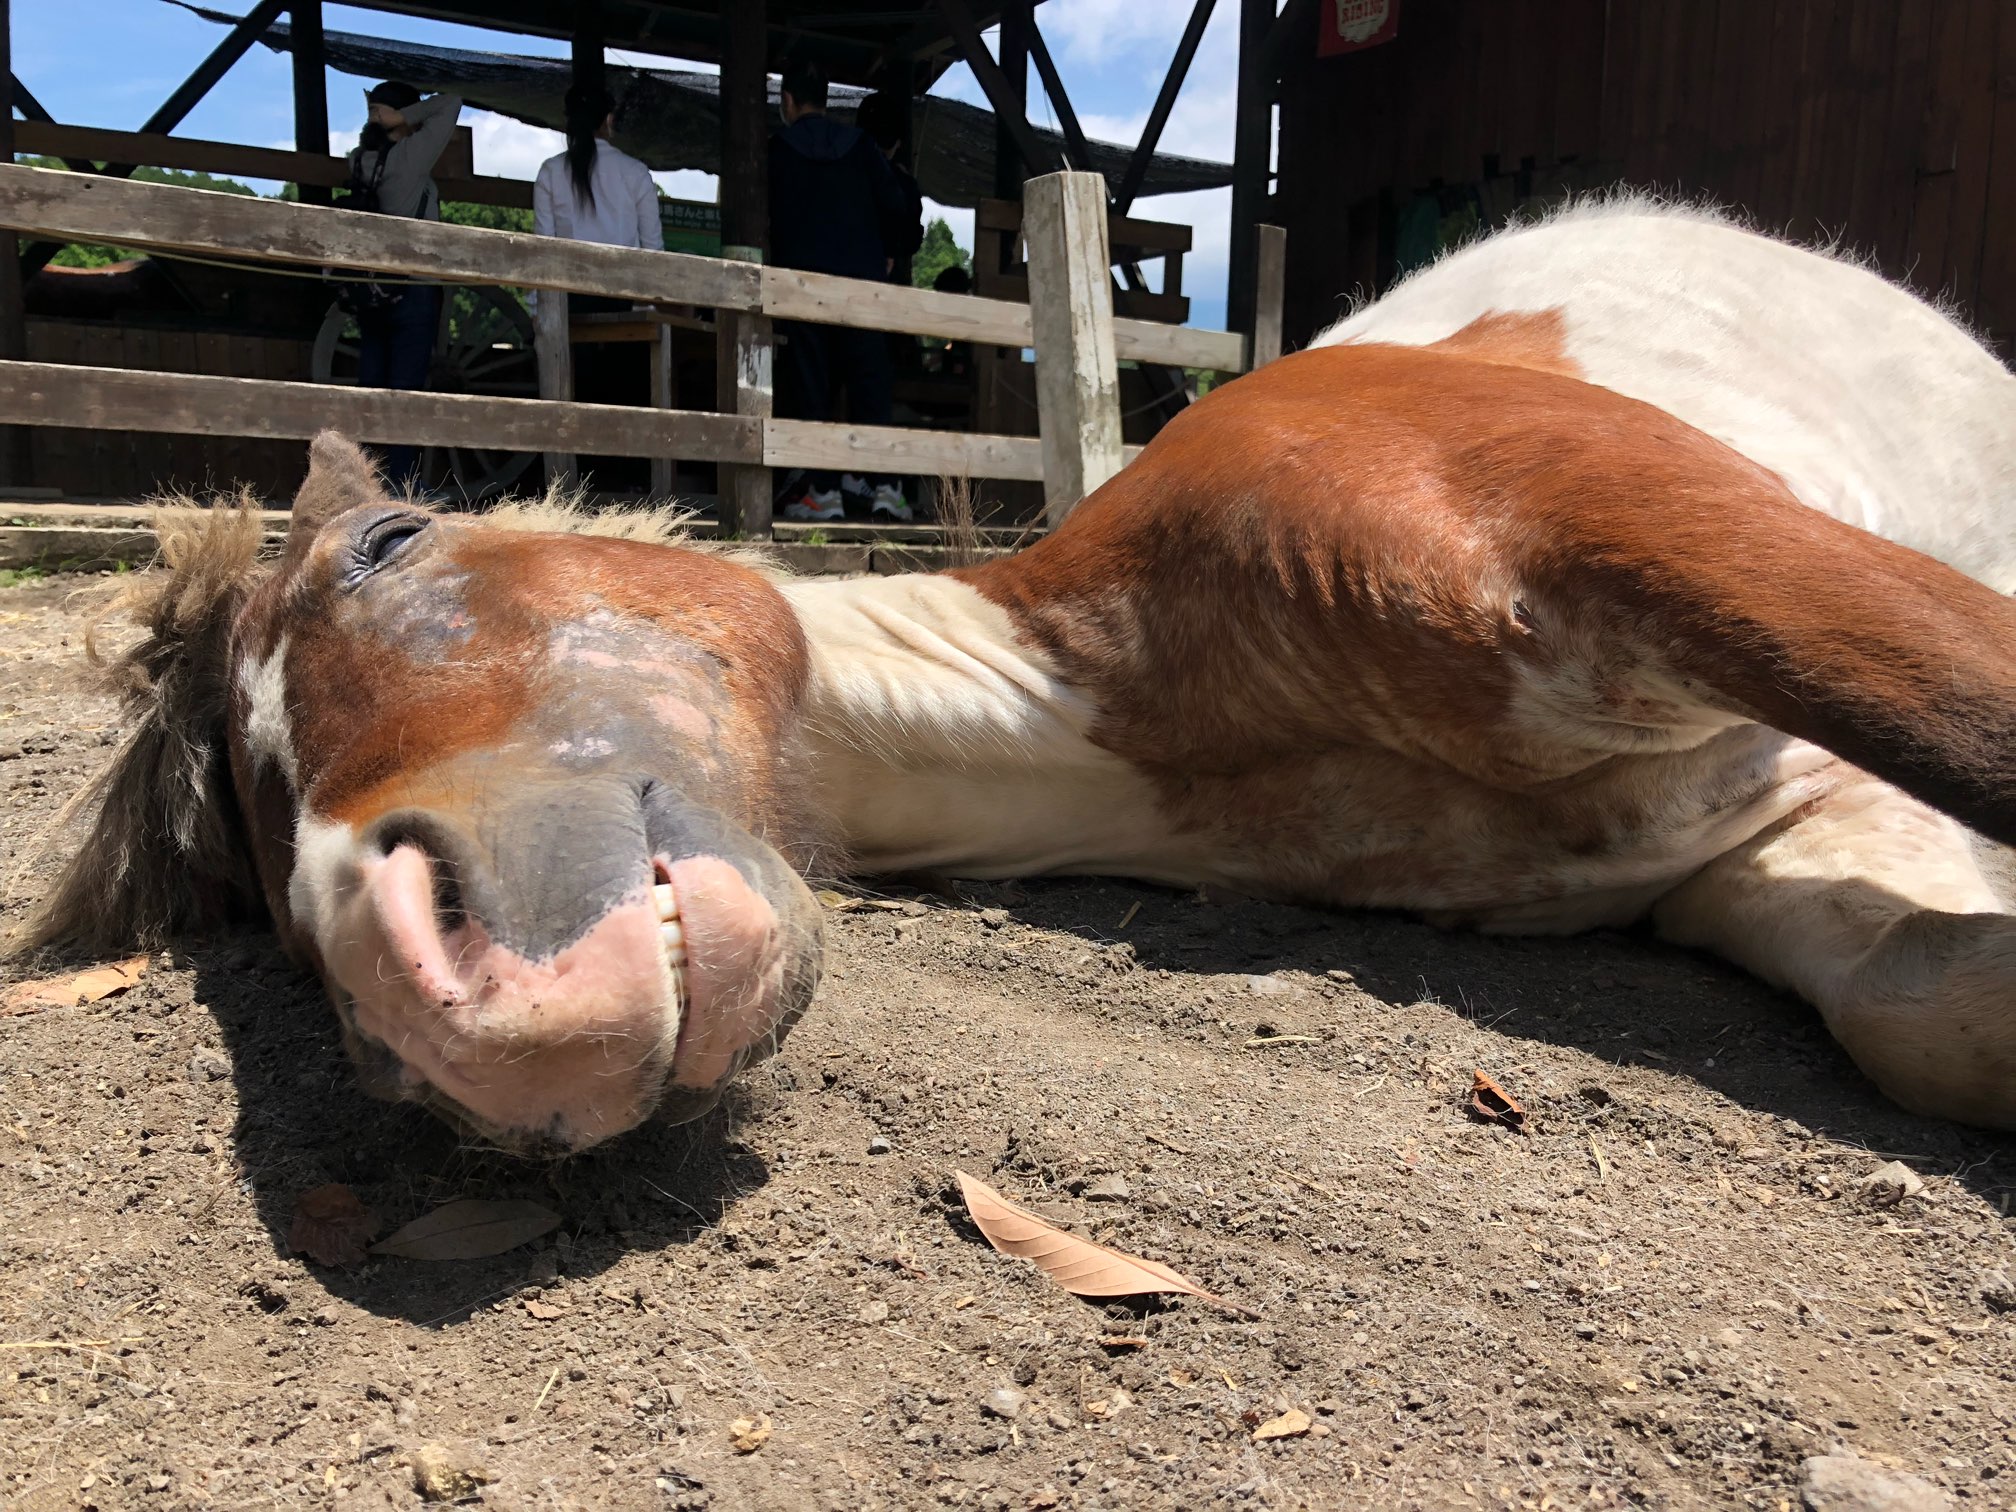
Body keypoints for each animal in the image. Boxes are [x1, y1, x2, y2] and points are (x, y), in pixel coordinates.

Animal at [16, 199, 2016, 1155]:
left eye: (386, 548)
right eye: (251, 842)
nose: (421, 988)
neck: (1121, 701)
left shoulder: (1699, 557)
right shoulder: (1748, 833)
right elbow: (1935, 1008)